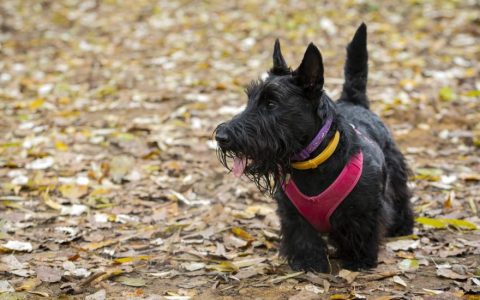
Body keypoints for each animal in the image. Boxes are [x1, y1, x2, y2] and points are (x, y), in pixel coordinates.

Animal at [215, 23, 412, 272]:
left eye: (271, 103)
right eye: (250, 99)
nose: (221, 136)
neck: (313, 163)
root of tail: (353, 102)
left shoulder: (364, 211)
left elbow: (361, 232)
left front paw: (359, 260)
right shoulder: (292, 214)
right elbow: (304, 239)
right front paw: (309, 264)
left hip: (395, 169)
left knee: (401, 196)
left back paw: (403, 226)